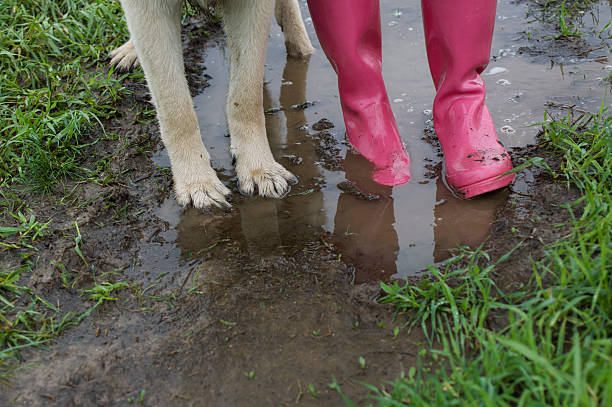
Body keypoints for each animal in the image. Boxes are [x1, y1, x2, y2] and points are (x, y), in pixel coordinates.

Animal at [110, 0, 314, 209]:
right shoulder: (147, 7)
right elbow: (176, 110)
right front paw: (197, 182)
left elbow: (247, 95)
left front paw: (260, 169)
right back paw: (131, 49)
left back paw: (301, 43)